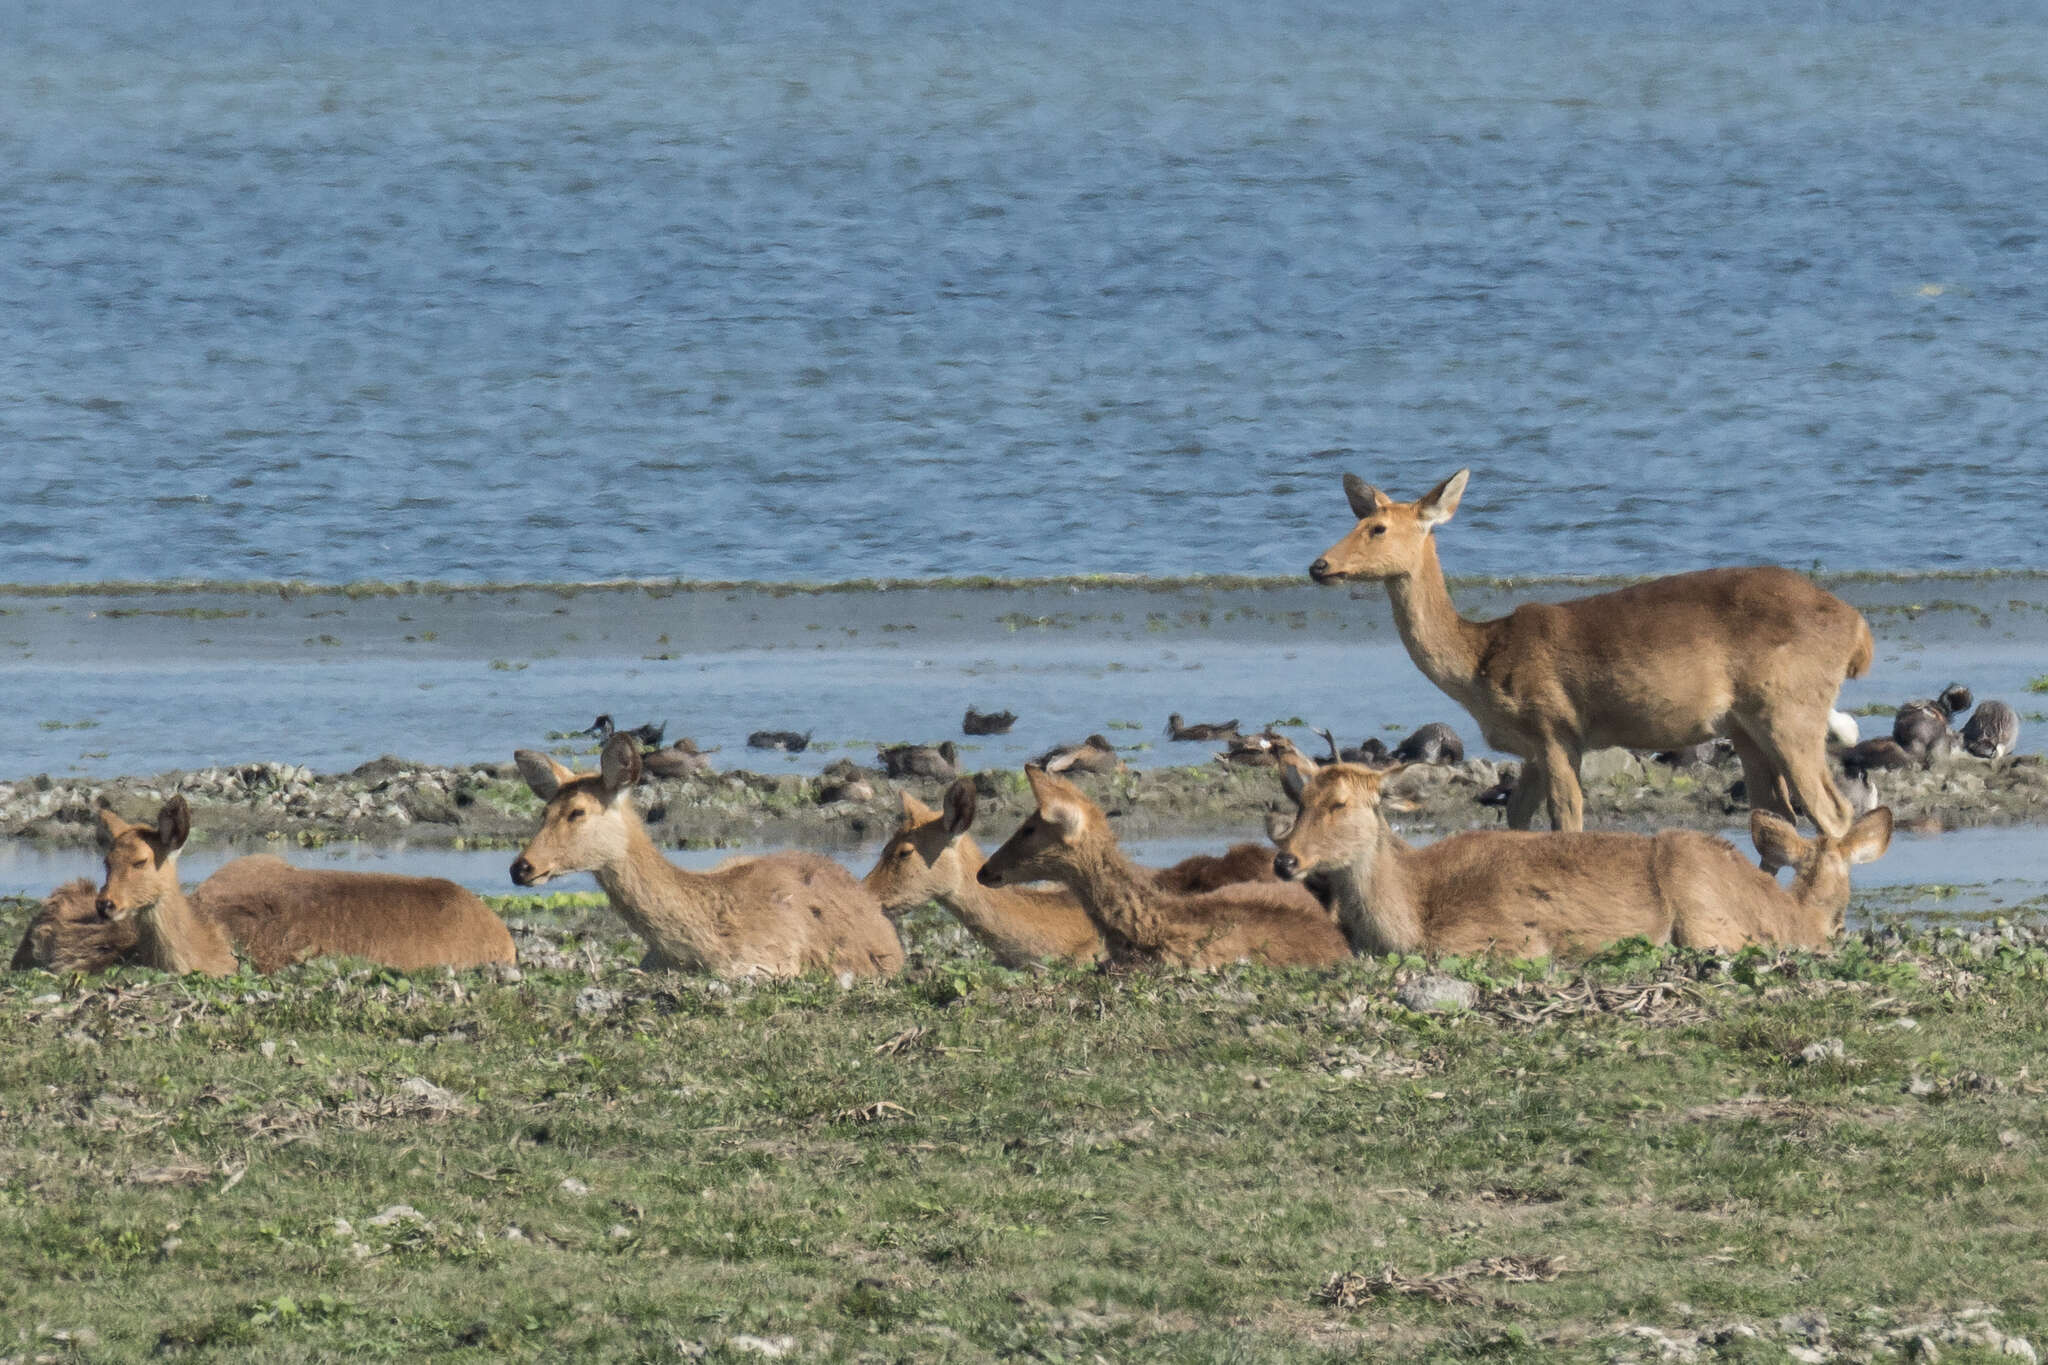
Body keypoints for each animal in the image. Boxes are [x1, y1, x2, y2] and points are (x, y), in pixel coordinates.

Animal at [1269, 757, 1892, 961]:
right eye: (1300, 799)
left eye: (1341, 803)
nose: (1285, 861)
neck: (1413, 911)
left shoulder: (1506, 939)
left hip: (1704, 915)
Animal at [1310, 472, 1875, 855]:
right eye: (1358, 520)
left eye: (1379, 527)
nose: (1319, 565)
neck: (1479, 660)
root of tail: (1858, 630)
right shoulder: (1534, 746)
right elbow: (1516, 816)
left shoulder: (1556, 725)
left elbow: (1568, 815)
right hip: (1747, 725)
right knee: (1776, 815)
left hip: (1791, 708)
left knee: (1833, 811)